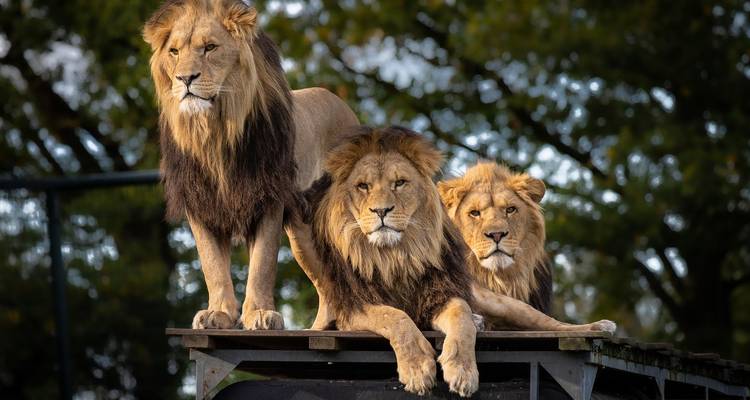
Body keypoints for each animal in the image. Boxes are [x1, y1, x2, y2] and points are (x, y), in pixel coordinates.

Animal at [143, 0, 358, 330]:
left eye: (210, 47)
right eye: (174, 52)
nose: (185, 79)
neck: (215, 133)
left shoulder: (268, 197)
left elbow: (262, 264)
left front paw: (259, 314)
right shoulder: (200, 203)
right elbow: (212, 265)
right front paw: (218, 313)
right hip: (303, 234)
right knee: (328, 286)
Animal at [300, 126, 479, 397]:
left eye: (400, 183)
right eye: (363, 186)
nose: (381, 211)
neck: (393, 258)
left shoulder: (439, 295)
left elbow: (462, 315)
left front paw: (463, 370)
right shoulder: (353, 306)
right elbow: (394, 316)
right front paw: (417, 368)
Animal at [439, 162, 616, 332]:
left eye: (510, 209)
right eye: (474, 213)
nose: (496, 234)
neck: (497, 278)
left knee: (551, 322)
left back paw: (601, 326)